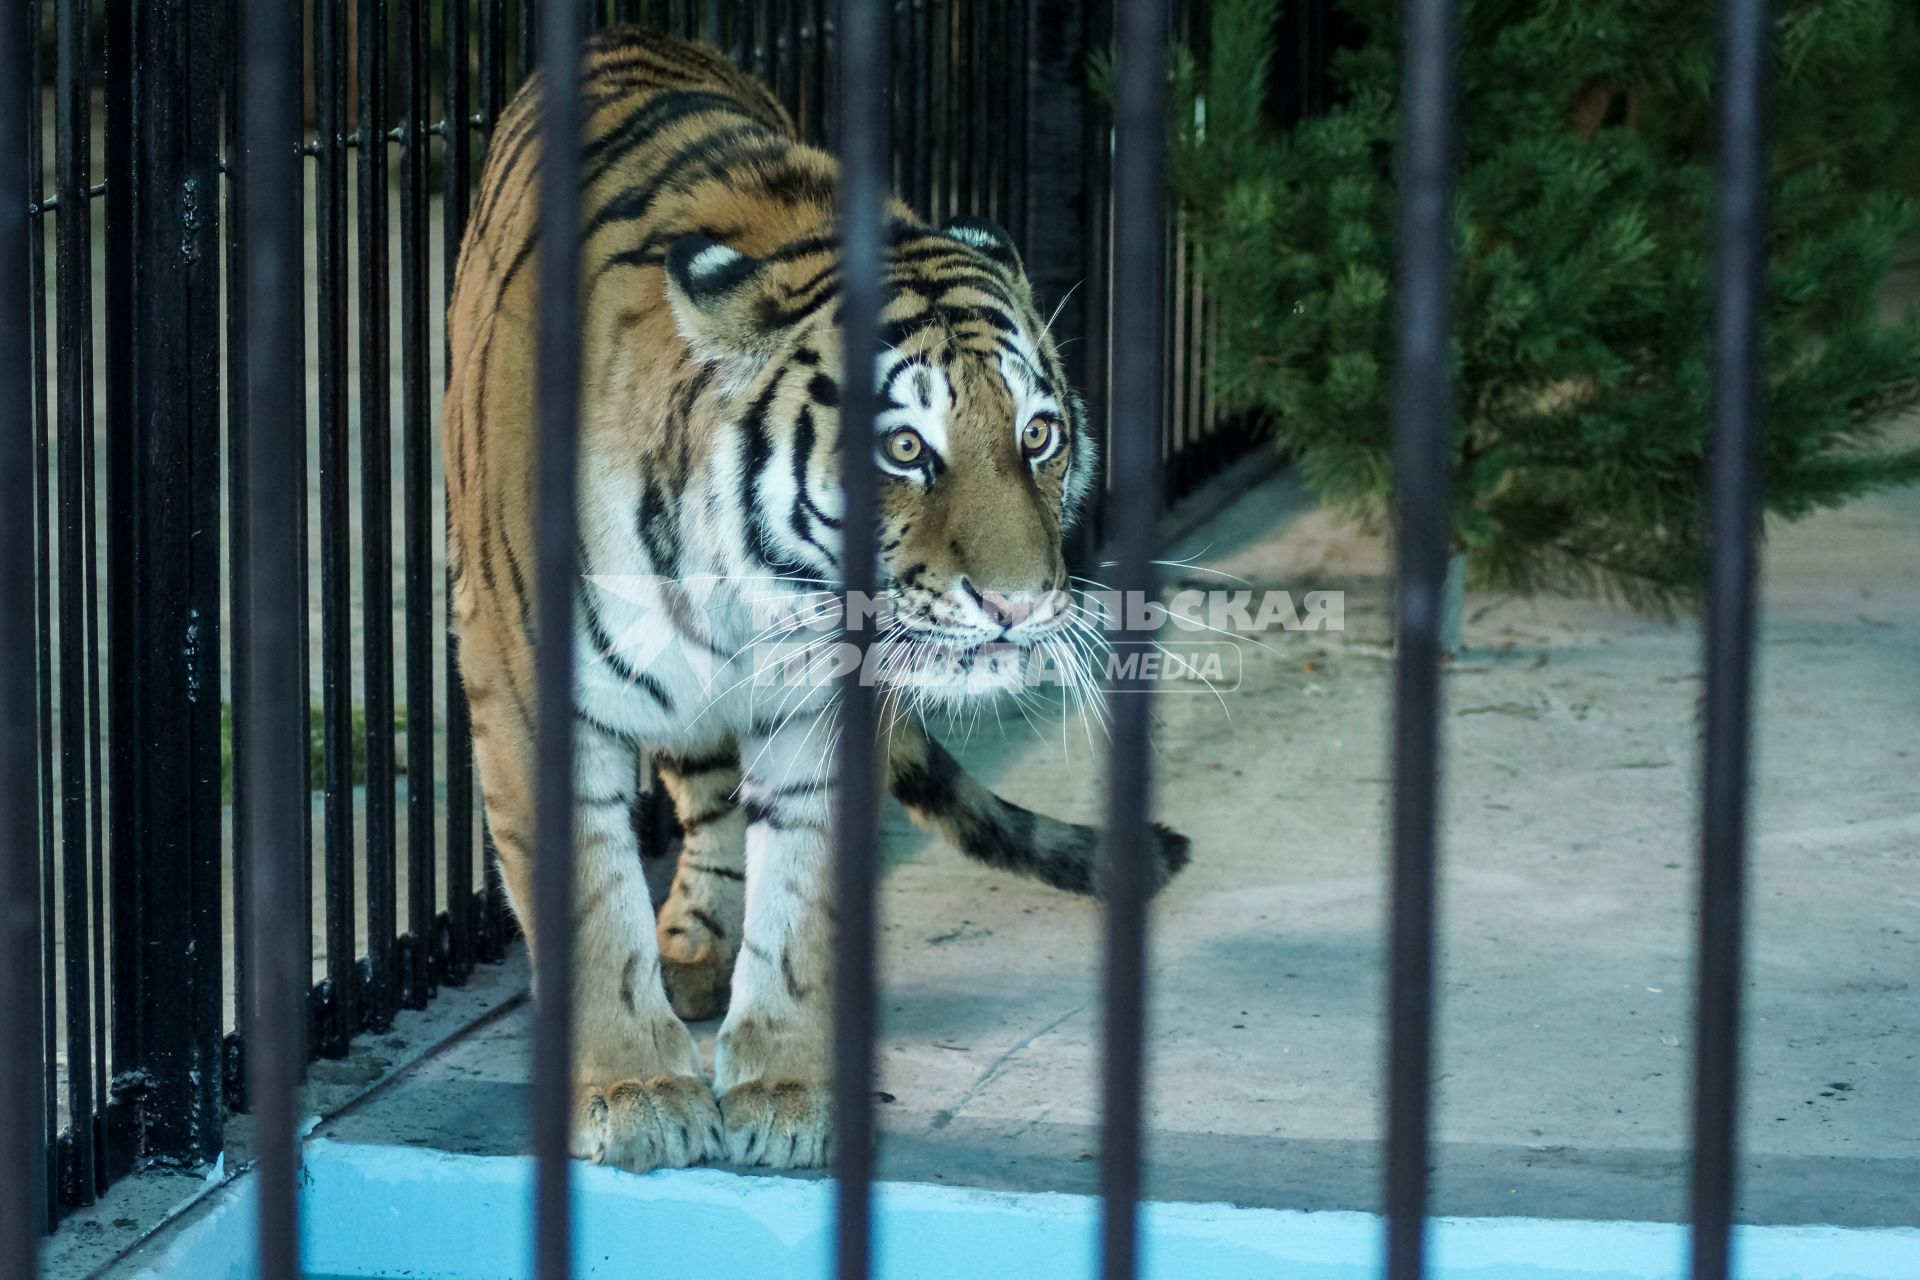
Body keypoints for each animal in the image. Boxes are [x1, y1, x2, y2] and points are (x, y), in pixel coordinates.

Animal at [441, 25, 1182, 1174]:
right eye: (906, 448)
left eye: (1039, 434)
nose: (1021, 606)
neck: (746, 598)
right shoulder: (525, 694)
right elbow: (590, 904)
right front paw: (636, 1088)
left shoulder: (826, 709)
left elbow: (801, 898)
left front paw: (786, 1090)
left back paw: (702, 952)